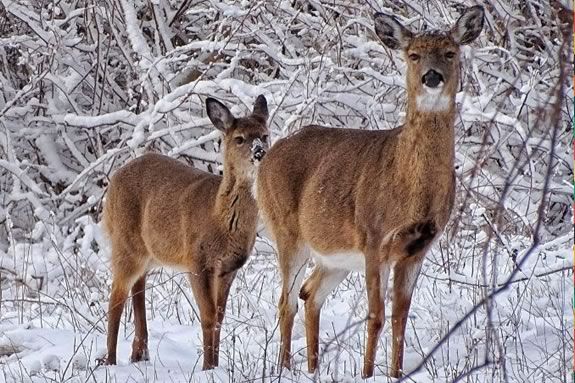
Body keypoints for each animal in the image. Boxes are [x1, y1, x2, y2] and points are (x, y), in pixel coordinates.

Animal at [100, 95, 270, 368]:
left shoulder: (229, 268)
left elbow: (220, 317)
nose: (259, 152)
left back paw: (140, 354)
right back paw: (111, 361)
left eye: (265, 135)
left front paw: (215, 365)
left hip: (148, 252)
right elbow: (208, 316)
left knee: (138, 288)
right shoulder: (197, 260)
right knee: (116, 297)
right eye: (239, 138)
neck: (219, 218)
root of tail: (114, 178)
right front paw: (207, 367)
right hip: (125, 242)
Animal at [258, 6, 484, 380]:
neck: (410, 187)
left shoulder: (417, 249)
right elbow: (376, 315)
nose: (432, 76)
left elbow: (399, 317)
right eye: (413, 54)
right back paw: (284, 368)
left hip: (335, 255)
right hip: (287, 231)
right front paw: (366, 373)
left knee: (310, 294)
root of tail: (266, 156)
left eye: (450, 52)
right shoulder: (374, 238)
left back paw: (313, 368)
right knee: (286, 300)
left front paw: (396, 373)